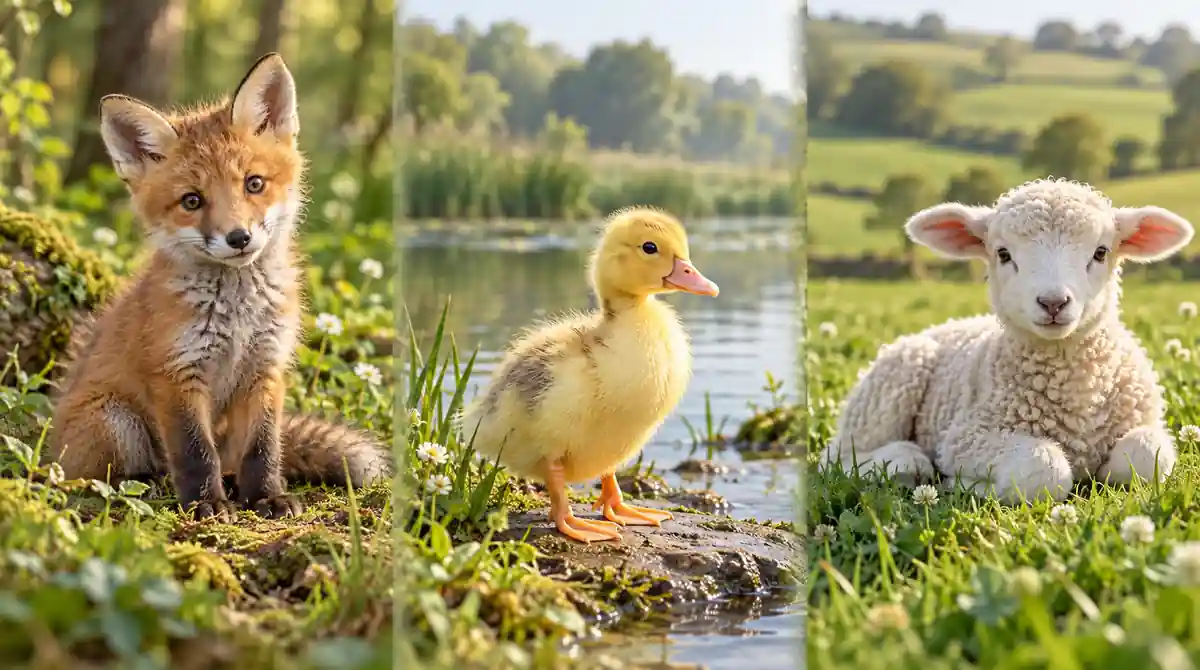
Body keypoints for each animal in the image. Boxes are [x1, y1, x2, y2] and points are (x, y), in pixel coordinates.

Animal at [46, 53, 392, 519]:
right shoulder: (177, 375)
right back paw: (150, 485)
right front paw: (206, 503)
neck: (237, 316)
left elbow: (263, 448)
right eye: (192, 201)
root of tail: (48, 447)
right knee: (97, 478)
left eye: (254, 183)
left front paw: (266, 496)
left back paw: (228, 482)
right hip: (114, 420)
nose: (238, 238)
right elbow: (195, 452)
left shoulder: (265, 369)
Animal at [818, 178, 1194, 503]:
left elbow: (1145, 456)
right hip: (890, 386)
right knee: (838, 457)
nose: (1053, 302)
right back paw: (907, 461)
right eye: (1002, 254)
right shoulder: (965, 438)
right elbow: (1043, 468)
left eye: (1101, 252)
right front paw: (967, 485)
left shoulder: (1145, 422)